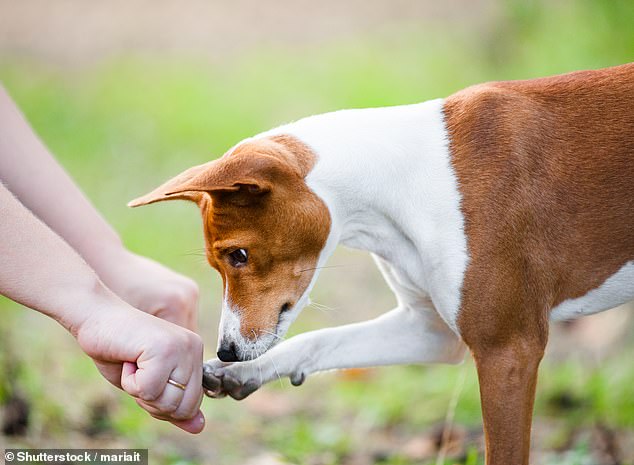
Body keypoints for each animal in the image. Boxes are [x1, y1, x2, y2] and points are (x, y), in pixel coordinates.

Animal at [130, 64, 632, 464]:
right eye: (219, 265)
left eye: (239, 255)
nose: (227, 351)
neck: (406, 179)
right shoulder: (432, 333)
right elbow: (322, 340)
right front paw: (242, 373)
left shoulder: (508, 350)